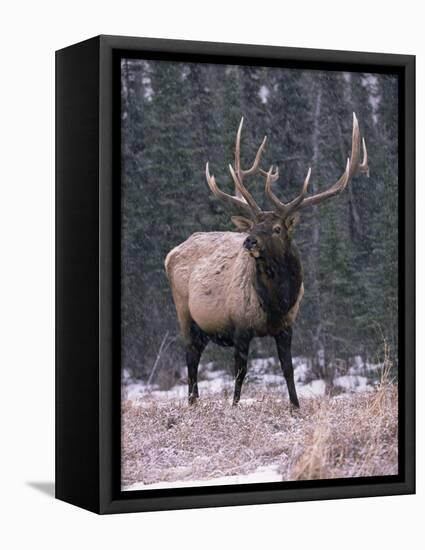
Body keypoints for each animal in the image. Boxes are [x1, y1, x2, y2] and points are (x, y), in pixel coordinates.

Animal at [164, 115, 366, 410]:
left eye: (277, 228)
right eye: (254, 225)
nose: (249, 241)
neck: (276, 302)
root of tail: (170, 254)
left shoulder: (287, 326)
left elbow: (288, 369)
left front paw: (295, 406)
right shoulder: (240, 326)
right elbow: (240, 371)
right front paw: (234, 406)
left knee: (195, 355)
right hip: (185, 313)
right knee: (191, 357)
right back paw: (192, 402)